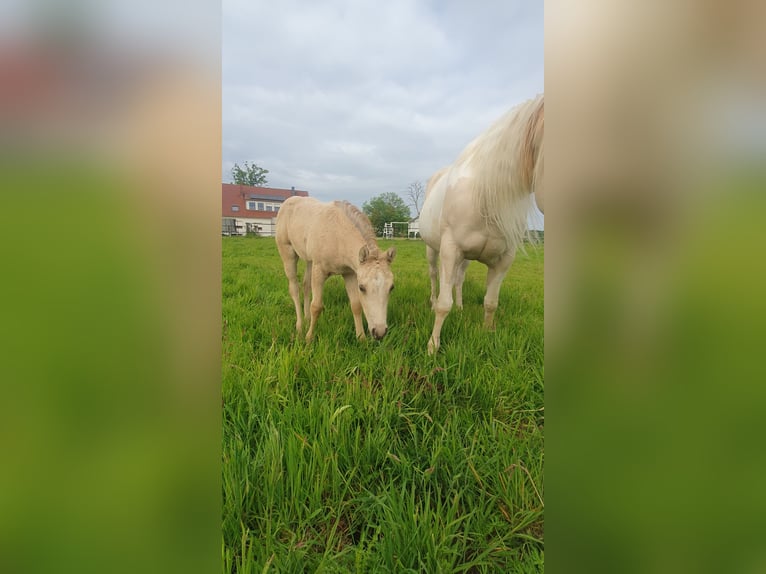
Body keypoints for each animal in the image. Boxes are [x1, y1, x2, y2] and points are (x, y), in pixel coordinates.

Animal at [275, 196, 396, 342]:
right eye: (362, 287)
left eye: (391, 287)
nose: (379, 333)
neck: (337, 235)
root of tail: (288, 201)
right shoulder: (319, 271)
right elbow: (316, 306)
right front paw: (309, 338)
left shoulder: (350, 274)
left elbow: (356, 305)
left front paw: (361, 338)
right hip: (288, 253)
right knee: (294, 288)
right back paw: (300, 326)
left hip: (310, 261)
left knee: (306, 285)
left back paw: (307, 318)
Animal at [419, 94, 544, 354]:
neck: (485, 195)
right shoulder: (449, 250)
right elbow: (443, 304)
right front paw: (433, 346)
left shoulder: (503, 260)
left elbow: (491, 302)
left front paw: (487, 334)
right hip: (432, 249)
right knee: (434, 276)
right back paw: (432, 301)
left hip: (466, 258)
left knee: (458, 280)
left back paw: (460, 307)